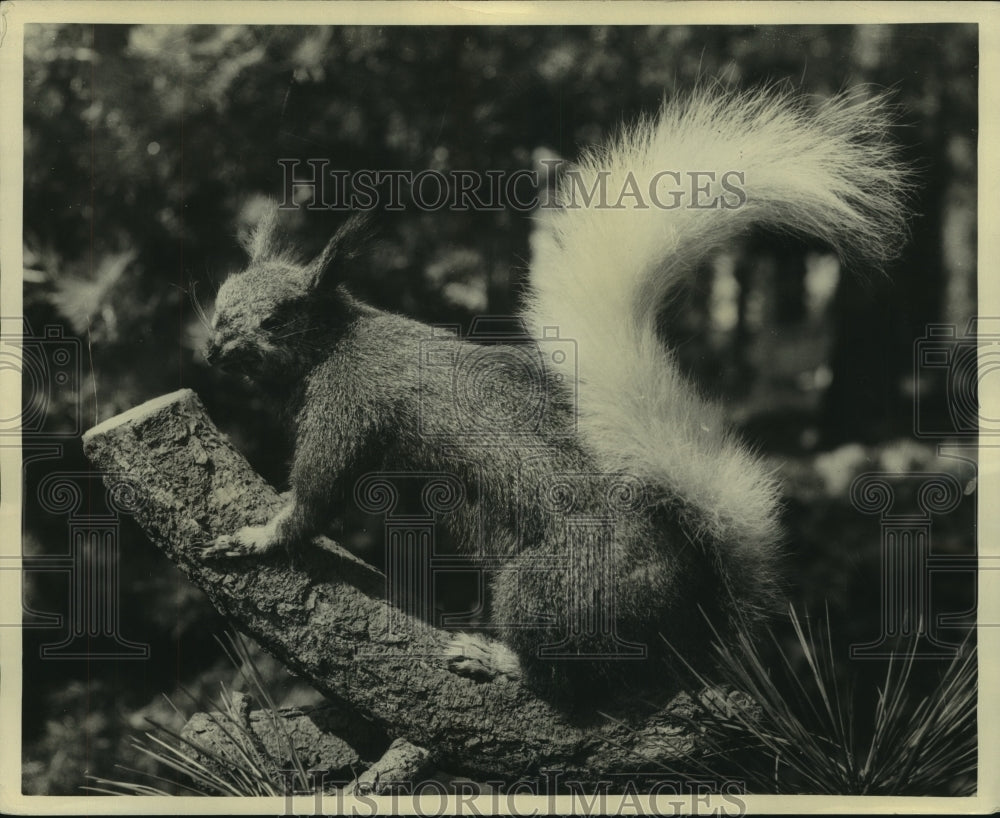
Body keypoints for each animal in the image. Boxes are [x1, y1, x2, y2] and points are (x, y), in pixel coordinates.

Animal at [204, 87, 909, 703]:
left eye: (278, 319)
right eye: (218, 300)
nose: (212, 351)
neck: (340, 338)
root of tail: (695, 624)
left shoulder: (350, 401)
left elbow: (316, 495)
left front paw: (260, 536)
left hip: (551, 589)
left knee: (565, 679)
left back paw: (498, 659)